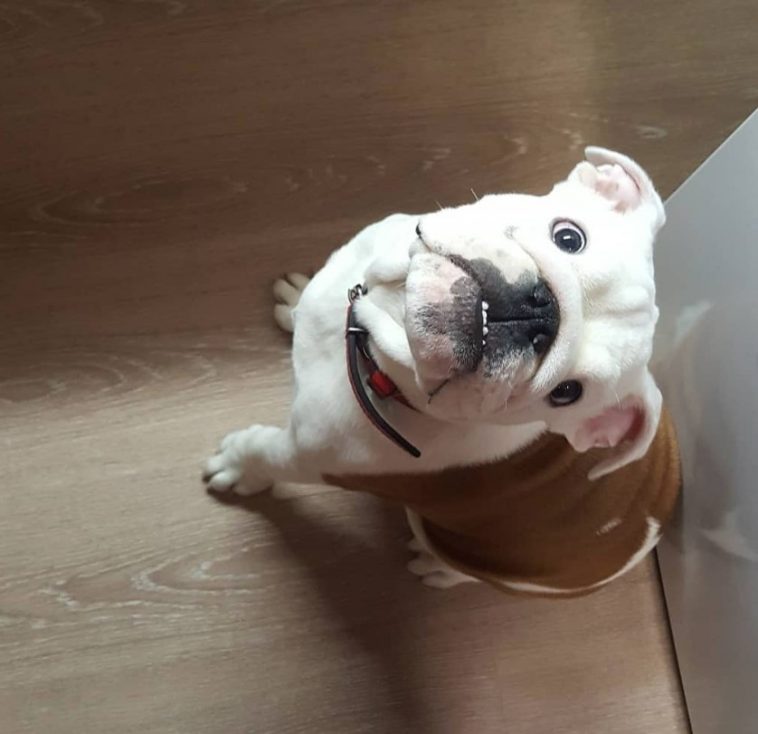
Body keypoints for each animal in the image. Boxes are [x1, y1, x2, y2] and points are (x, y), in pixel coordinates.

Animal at [202, 148, 684, 600]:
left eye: (567, 392)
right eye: (569, 237)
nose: (542, 311)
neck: (379, 341)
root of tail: (655, 525)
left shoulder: (313, 456)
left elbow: (269, 453)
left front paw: (238, 465)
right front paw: (296, 298)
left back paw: (434, 567)